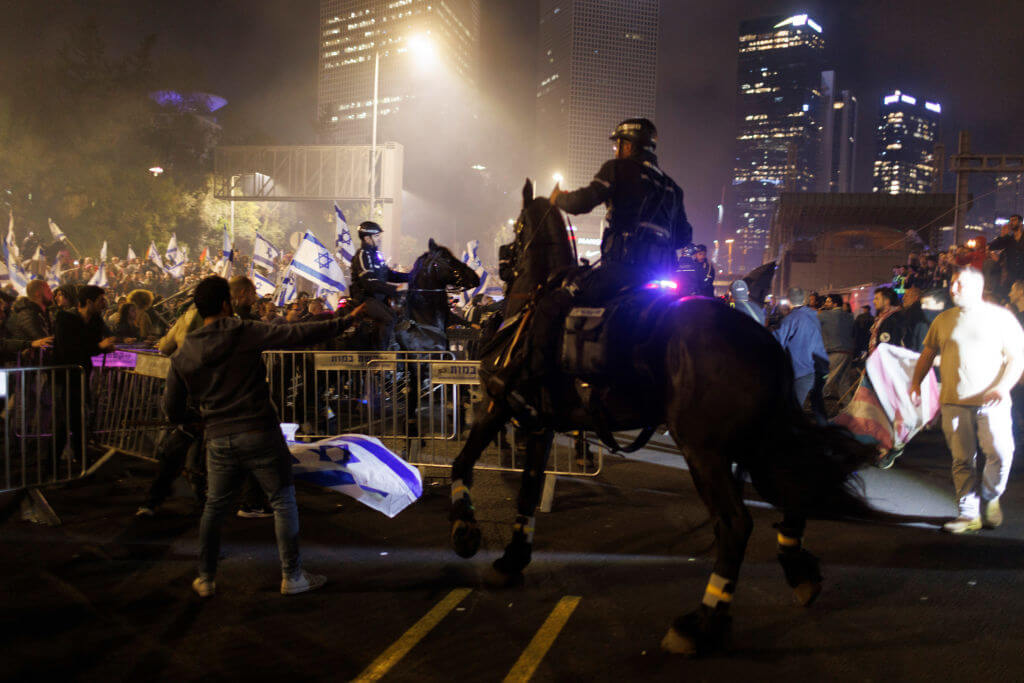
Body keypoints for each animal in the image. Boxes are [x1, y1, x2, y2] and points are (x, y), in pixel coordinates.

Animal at [448, 180, 888, 655]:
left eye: (517, 227)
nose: (499, 263)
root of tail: (762, 337)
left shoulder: (500, 403)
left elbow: (462, 462)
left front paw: (465, 531)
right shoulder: (540, 423)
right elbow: (528, 493)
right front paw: (512, 559)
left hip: (703, 449)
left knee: (735, 523)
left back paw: (703, 621)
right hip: (753, 440)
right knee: (792, 489)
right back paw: (796, 568)